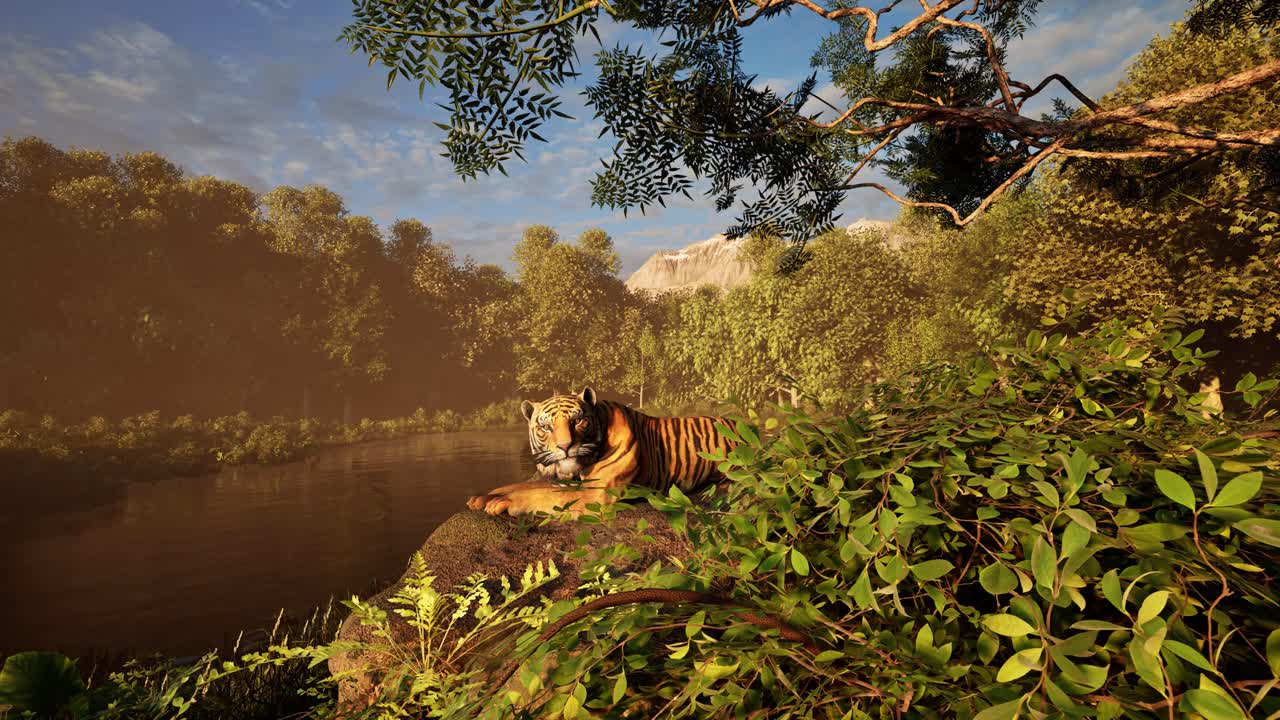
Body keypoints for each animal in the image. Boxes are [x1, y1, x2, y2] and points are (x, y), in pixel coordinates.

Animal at [466, 387, 736, 517]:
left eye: (577, 421)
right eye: (546, 427)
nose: (565, 446)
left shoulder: (595, 494)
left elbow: (540, 495)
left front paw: (504, 502)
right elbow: (525, 485)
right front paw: (483, 497)